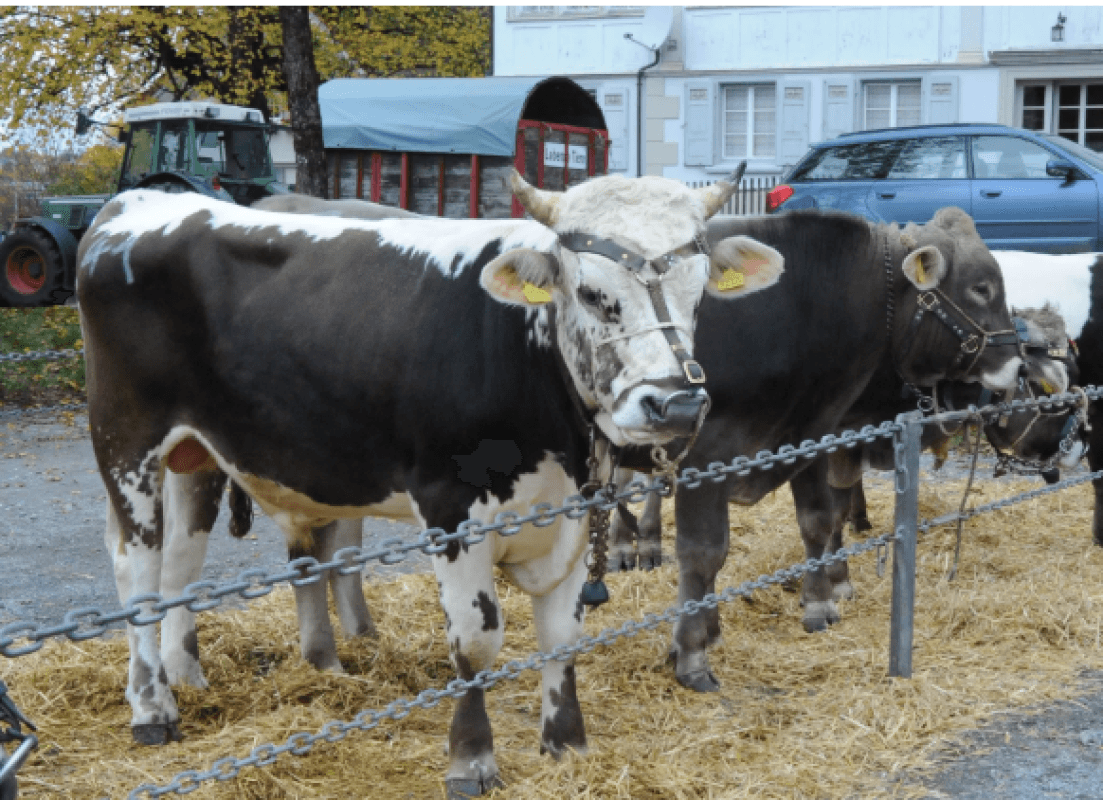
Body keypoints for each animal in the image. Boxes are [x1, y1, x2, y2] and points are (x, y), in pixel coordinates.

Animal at [77, 168, 785, 796]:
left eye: (699, 294)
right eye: (591, 293)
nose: (678, 405)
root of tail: (135, 207)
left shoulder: (572, 512)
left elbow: (561, 634)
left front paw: (567, 743)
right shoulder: (453, 510)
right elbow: (476, 640)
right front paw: (471, 761)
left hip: (195, 455)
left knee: (180, 564)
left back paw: (185, 676)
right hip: (125, 439)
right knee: (137, 570)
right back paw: (151, 709)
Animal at [595, 207, 1064, 692]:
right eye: (981, 288)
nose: (1017, 365)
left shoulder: (811, 437)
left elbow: (819, 520)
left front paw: (817, 601)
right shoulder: (708, 457)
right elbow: (704, 552)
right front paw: (692, 650)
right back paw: (631, 548)